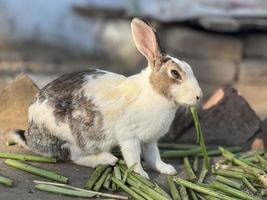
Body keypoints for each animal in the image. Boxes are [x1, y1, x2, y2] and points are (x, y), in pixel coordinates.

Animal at [10, 18, 203, 178]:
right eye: (175, 73)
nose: (199, 96)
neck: (154, 92)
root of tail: (31, 134)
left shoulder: (150, 140)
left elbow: (153, 156)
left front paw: (168, 170)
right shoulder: (129, 137)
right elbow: (134, 158)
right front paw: (142, 175)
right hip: (70, 136)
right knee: (75, 156)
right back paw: (107, 159)